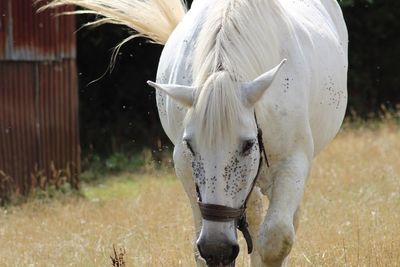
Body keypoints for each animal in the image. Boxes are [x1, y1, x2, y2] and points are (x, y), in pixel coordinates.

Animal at [43, 1, 348, 266]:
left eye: (249, 145)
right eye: (190, 145)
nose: (217, 247)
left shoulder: (293, 162)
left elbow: (276, 240)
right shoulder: (186, 171)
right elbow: (204, 249)